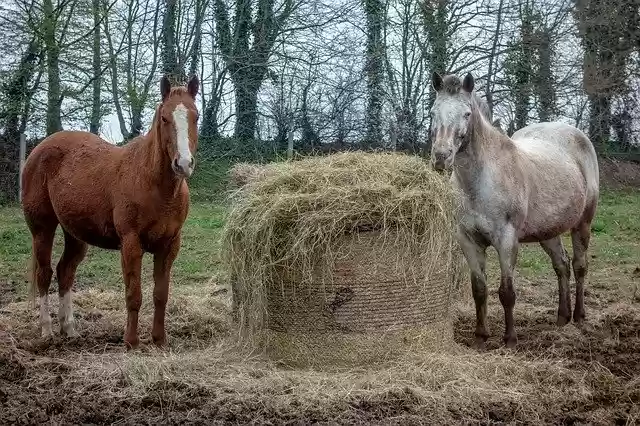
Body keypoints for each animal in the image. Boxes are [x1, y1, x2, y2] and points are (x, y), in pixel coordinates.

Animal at [21, 75, 200, 349]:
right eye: (164, 118)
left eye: (196, 116)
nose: (183, 164)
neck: (152, 183)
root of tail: (39, 149)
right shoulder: (131, 243)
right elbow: (133, 294)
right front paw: (132, 341)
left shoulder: (169, 246)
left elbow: (161, 294)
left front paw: (159, 339)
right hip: (42, 230)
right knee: (44, 274)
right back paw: (47, 331)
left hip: (75, 234)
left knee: (65, 272)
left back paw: (69, 329)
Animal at [429, 72, 599, 349]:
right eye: (433, 111)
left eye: (467, 113)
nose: (441, 157)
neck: (479, 182)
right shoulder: (468, 240)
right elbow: (479, 289)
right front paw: (480, 337)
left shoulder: (507, 240)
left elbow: (507, 292)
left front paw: (509, 339)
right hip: (548, 231)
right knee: (561, 266)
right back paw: (562, 318)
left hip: (583, 223)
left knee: (579, 266)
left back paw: (579, 317)